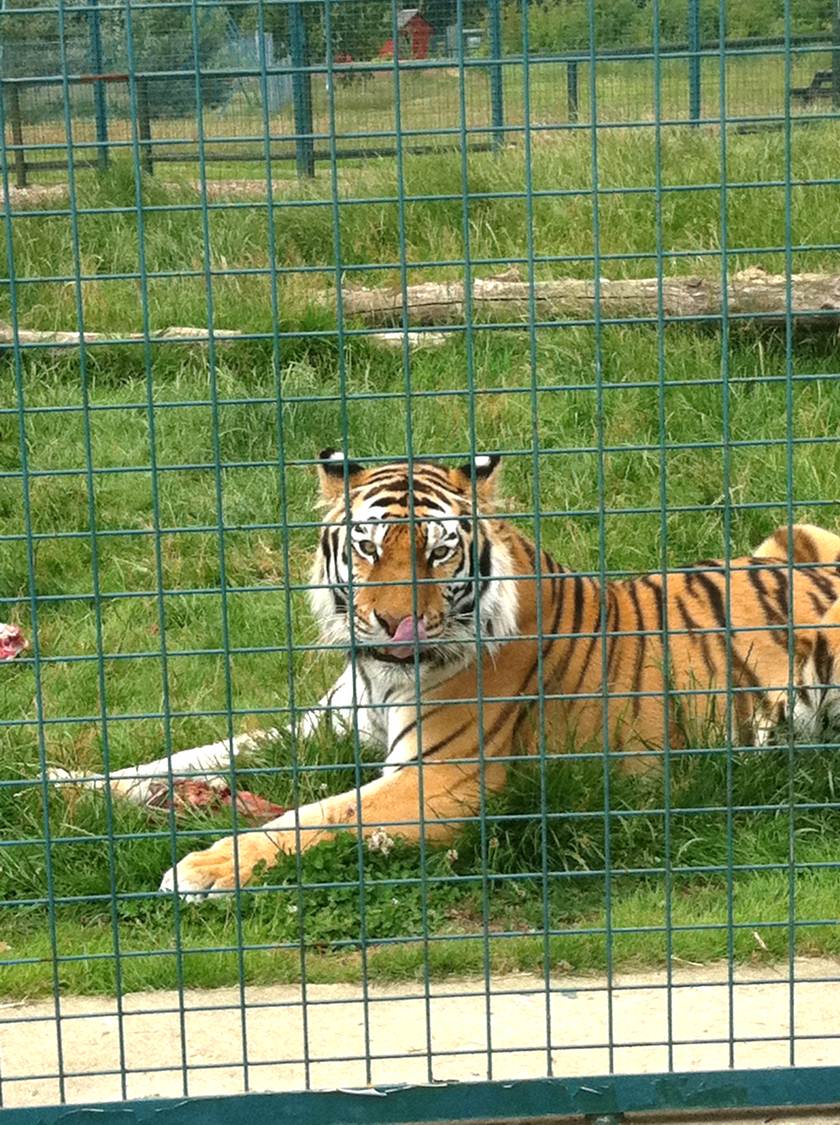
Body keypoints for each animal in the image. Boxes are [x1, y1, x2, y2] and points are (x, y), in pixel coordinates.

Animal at [52, 450, 840, 899]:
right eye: (368, 547)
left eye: (437, 552)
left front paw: (202, 870)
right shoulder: (323, 725)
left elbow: (316, 817)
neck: (382, 675)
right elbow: (187, 755)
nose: (395, 625)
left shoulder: (448, 779)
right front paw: (64, 786)